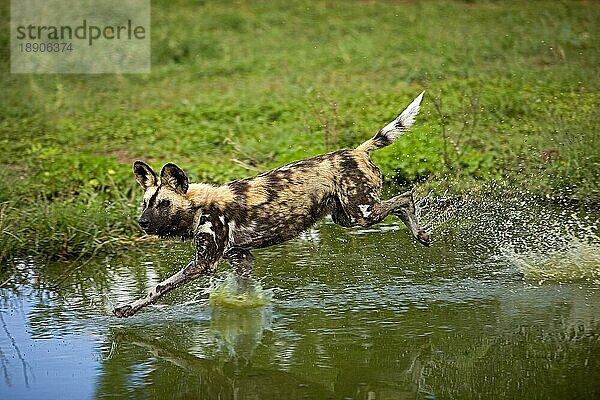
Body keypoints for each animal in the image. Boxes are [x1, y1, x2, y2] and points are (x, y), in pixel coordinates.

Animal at [112, 92, 428, 318]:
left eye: (163, 204)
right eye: (145, 204)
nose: (142, 223)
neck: (199, 207)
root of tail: (357, 150)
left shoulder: (203, 264)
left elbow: (159, 287)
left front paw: (128, 307)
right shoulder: (241, 258)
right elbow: (242, 292)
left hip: (361, 213)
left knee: (406, 198)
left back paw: (420, 233)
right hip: (346, 217)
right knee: (401, 202)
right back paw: (421, 235)